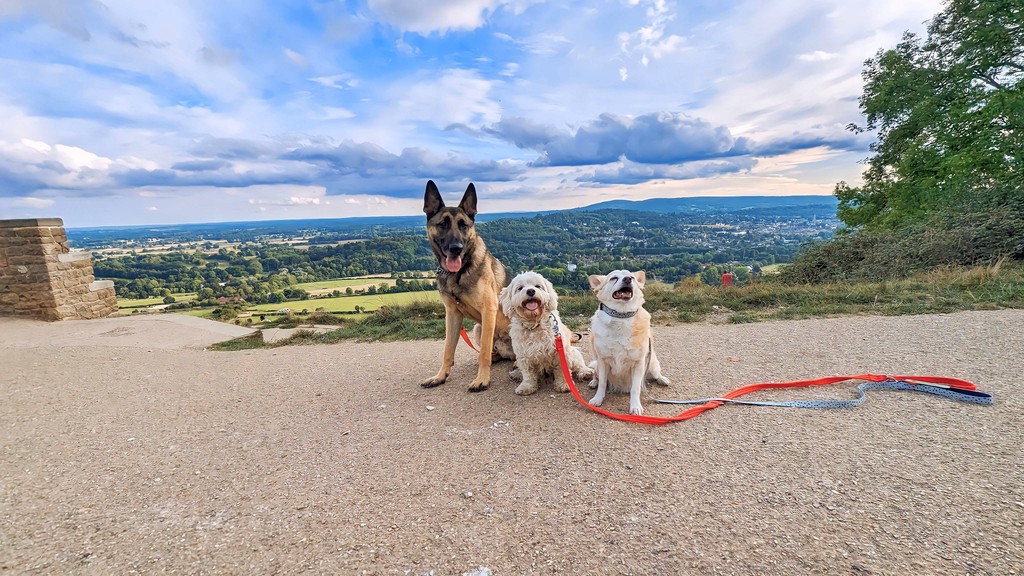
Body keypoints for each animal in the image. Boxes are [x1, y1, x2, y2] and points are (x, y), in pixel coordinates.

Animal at [419, 179, 512, 389]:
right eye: (443, 224)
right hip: (478, 328)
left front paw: (482, 379)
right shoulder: (453, 314)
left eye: (464, 225)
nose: (456, 248)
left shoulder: (489, 309)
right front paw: (440, 376)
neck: (459, 274)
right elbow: (447, 350)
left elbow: (483, 351)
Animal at [585, 268, 671, 412]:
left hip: (652, 363)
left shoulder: (638, 364)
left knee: (656, 374)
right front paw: (598, 398)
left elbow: (635, 388)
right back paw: (593, 382)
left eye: (632, 277)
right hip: (597, 364)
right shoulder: (603, 361)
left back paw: (662, 379)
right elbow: (602, 383)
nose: (627, 279)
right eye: (613, 278)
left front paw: (635, 406)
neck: (621, 316)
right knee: (596, 376)